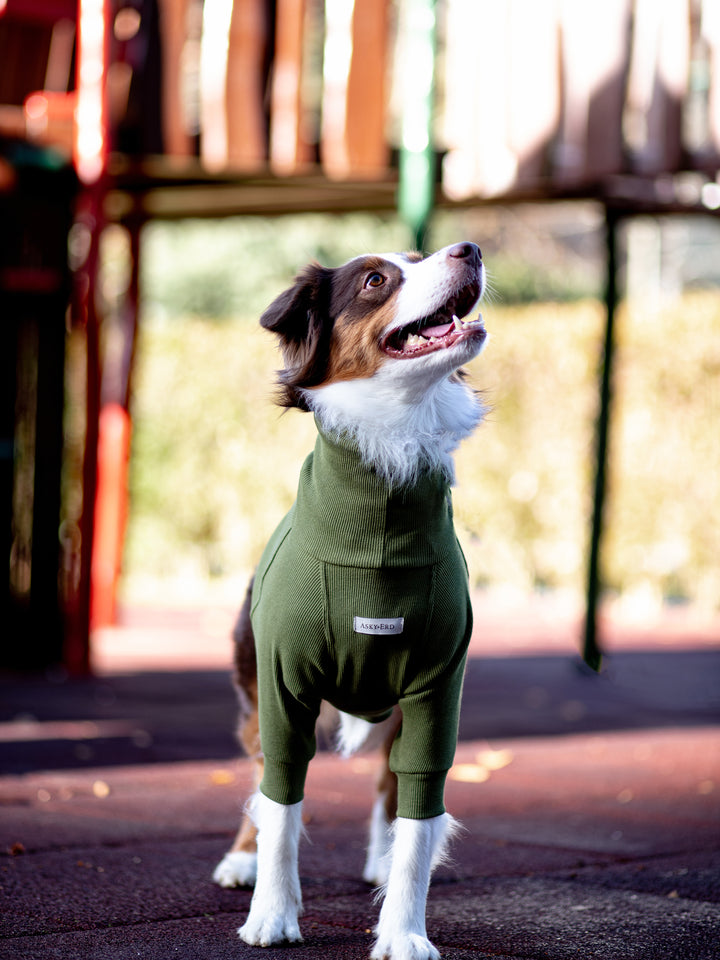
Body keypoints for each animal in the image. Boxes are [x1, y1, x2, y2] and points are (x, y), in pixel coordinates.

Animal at [211, 240, 486, 960]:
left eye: (422, 256)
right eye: (375, 280)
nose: (470, 249)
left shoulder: (436, 692)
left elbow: (418, 816)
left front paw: (404, 930)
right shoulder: (282, 690)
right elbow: (280, 805)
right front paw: (271, 914)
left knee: (390, 789)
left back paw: (380, 862)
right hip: (253, 698)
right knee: (258, 783)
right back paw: (241, 859)